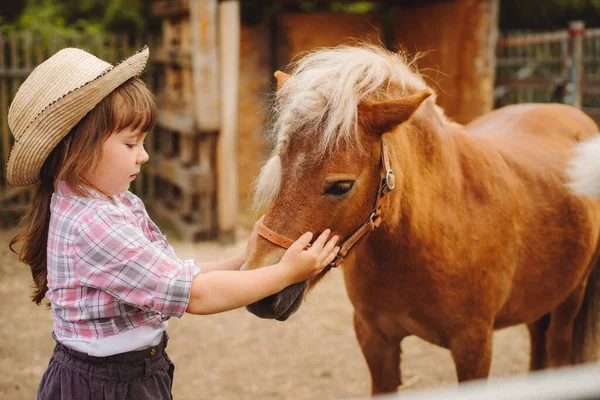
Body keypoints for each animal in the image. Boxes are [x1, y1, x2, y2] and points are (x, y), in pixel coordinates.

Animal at [241, 45, 600, 396]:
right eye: (280, 165)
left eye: (341, 185)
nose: (263, 292)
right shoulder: (375, 340)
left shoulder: (474, 346)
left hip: (570, 300)